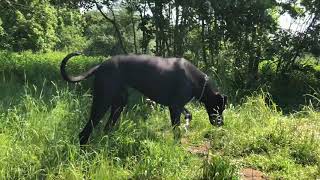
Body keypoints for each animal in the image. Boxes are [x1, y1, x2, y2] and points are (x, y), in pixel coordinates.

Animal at [59, 52, 225, 145]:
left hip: (119, 104)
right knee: (84, 133)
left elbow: (188, 114)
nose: (221, 123)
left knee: (107, 127)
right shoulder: (175, 107)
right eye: (220, 107)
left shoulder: (177, 106)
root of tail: (100, 66)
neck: (197, 80)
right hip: (102, 102)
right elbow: (176, 130)